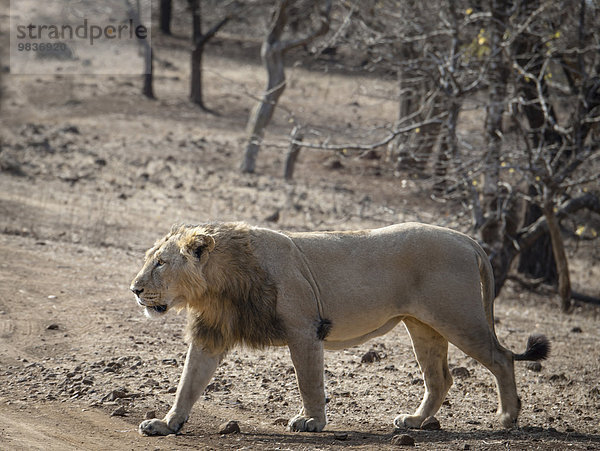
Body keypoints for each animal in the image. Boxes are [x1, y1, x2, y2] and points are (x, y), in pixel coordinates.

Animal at [130, 222, 548, 434]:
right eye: (150, 259)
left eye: (161, 263)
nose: (134, 289)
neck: (217, 284)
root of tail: (467, 239)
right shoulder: (211, 334)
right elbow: (189, 382)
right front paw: (166, 423)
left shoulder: (305, 329)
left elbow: (309, 382)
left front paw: (312, 422)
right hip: (423, 326)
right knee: (440, 378)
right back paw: (414, 421)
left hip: (458, 316)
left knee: (502, 358)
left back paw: (508, 418)